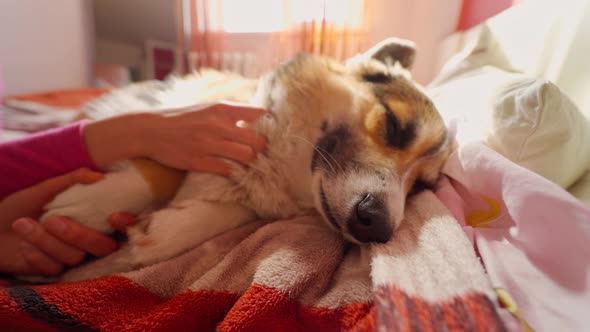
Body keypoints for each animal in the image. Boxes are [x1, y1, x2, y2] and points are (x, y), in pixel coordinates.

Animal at [41, 39, 450, 282]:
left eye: (422, 186)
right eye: (394, 126)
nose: (379, 228)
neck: (284, 163)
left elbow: (231, 212)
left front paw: (168, 232)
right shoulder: (186, 124)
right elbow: (156, 165)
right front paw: (88, 206)